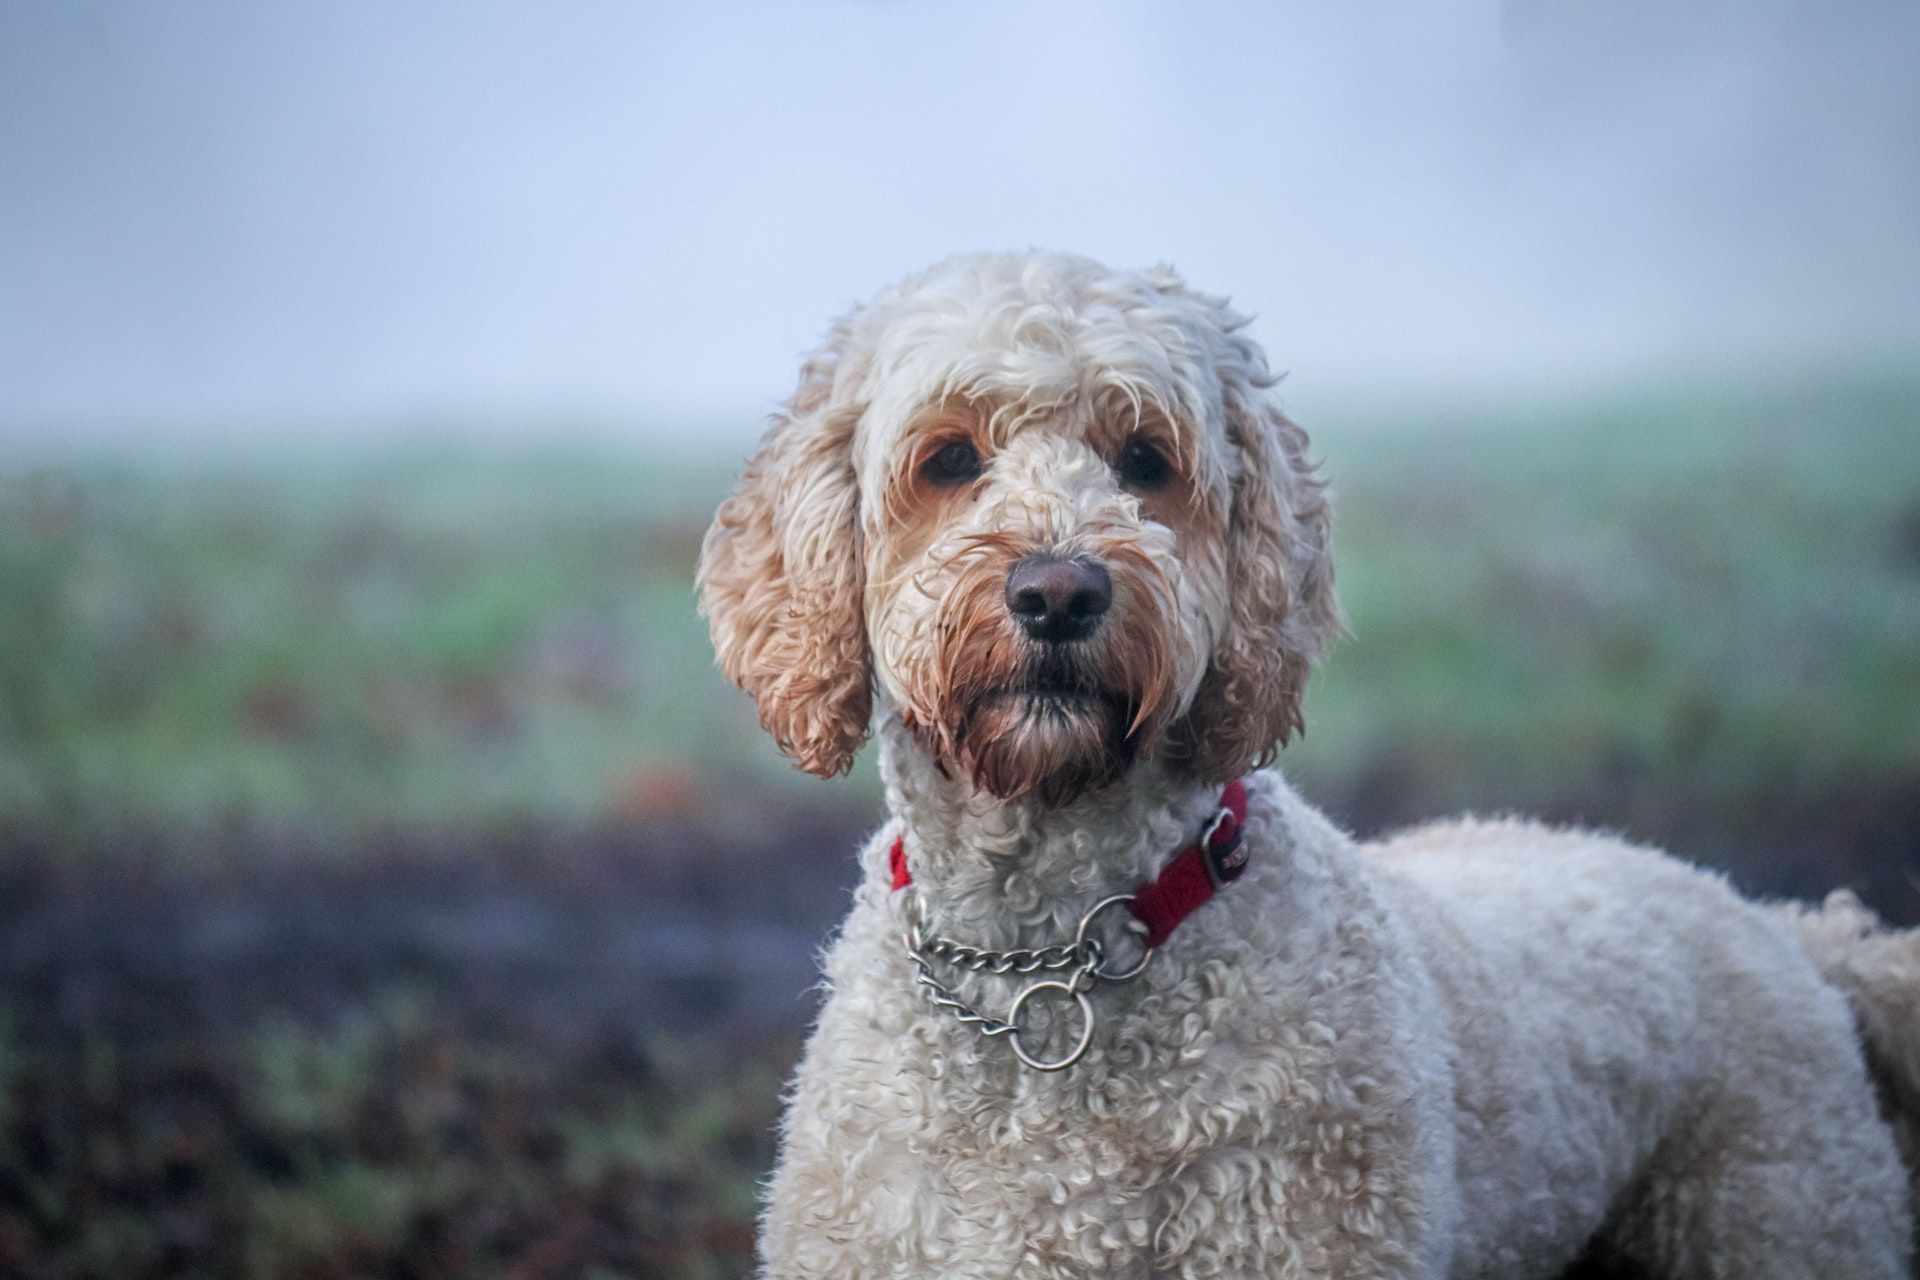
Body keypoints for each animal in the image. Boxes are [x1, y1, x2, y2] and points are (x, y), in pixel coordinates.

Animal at [695, 253, 1920, 1280]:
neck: (1054, 949)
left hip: (1785, 1211)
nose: (1059, 592)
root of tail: (1776, 924)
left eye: (1147, 461)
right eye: (948, 459)